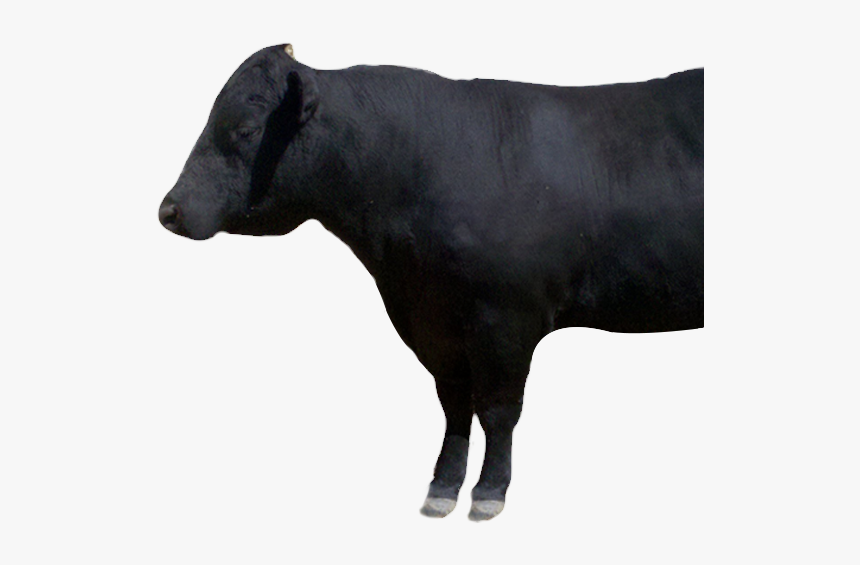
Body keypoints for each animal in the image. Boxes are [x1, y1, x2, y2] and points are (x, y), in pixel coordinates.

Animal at [158, 44, 704, 521]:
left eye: (246, 128)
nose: (169, 210)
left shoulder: (506, 316)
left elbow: (498, 408)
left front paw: (489, 492)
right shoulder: (429, 318)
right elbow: (455, 403)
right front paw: (443, 487)